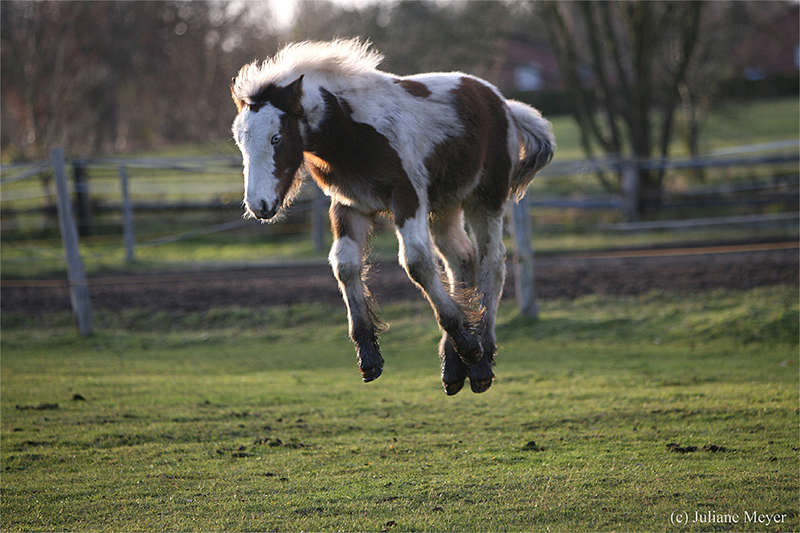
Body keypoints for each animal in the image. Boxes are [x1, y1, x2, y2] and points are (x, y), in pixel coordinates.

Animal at [230, 38, 556, 394]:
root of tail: (504, 104)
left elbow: (416, 262)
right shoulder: (348, 205)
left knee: (492, 262)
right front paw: (369, 356)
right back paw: (454, 367)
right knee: (461, 259)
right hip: (443, 206)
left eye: (276, 137)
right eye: (240, 141)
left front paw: (470, 346)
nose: (259, 205)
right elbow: (344, 265)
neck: (351, 134)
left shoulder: (407, 197)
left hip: (485, 199)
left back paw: (481, 360)